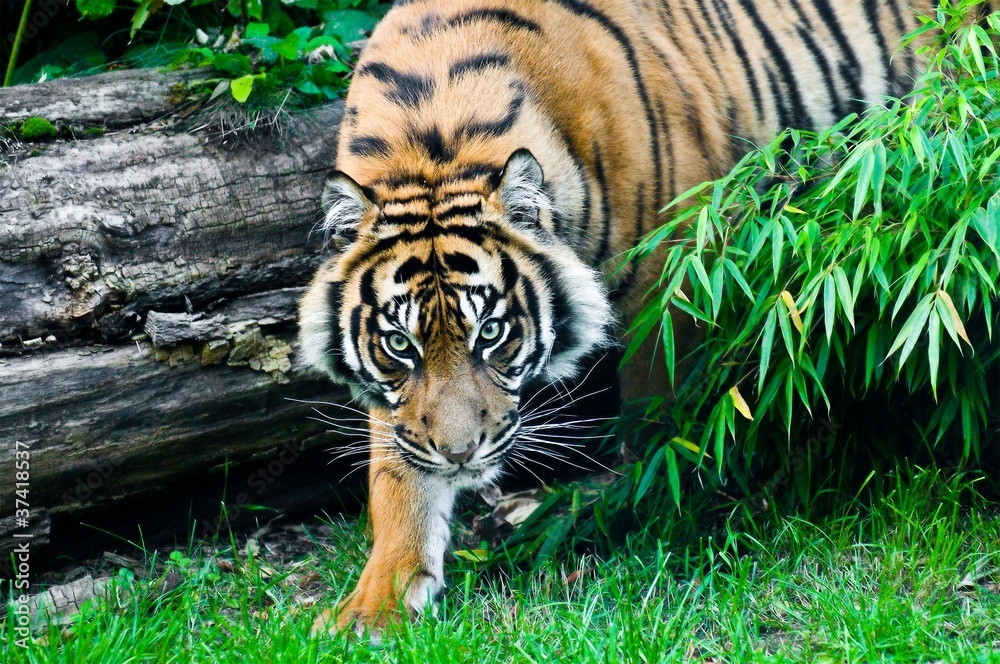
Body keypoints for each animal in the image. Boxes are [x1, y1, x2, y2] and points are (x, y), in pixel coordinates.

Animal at [299, 0, 954, 632]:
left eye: (491, 332)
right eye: (400, 345)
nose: (459, 456)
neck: (433, 139)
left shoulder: (678, 261)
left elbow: (655, 408)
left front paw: (641, 506)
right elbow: (396, 476)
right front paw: (374, 607)